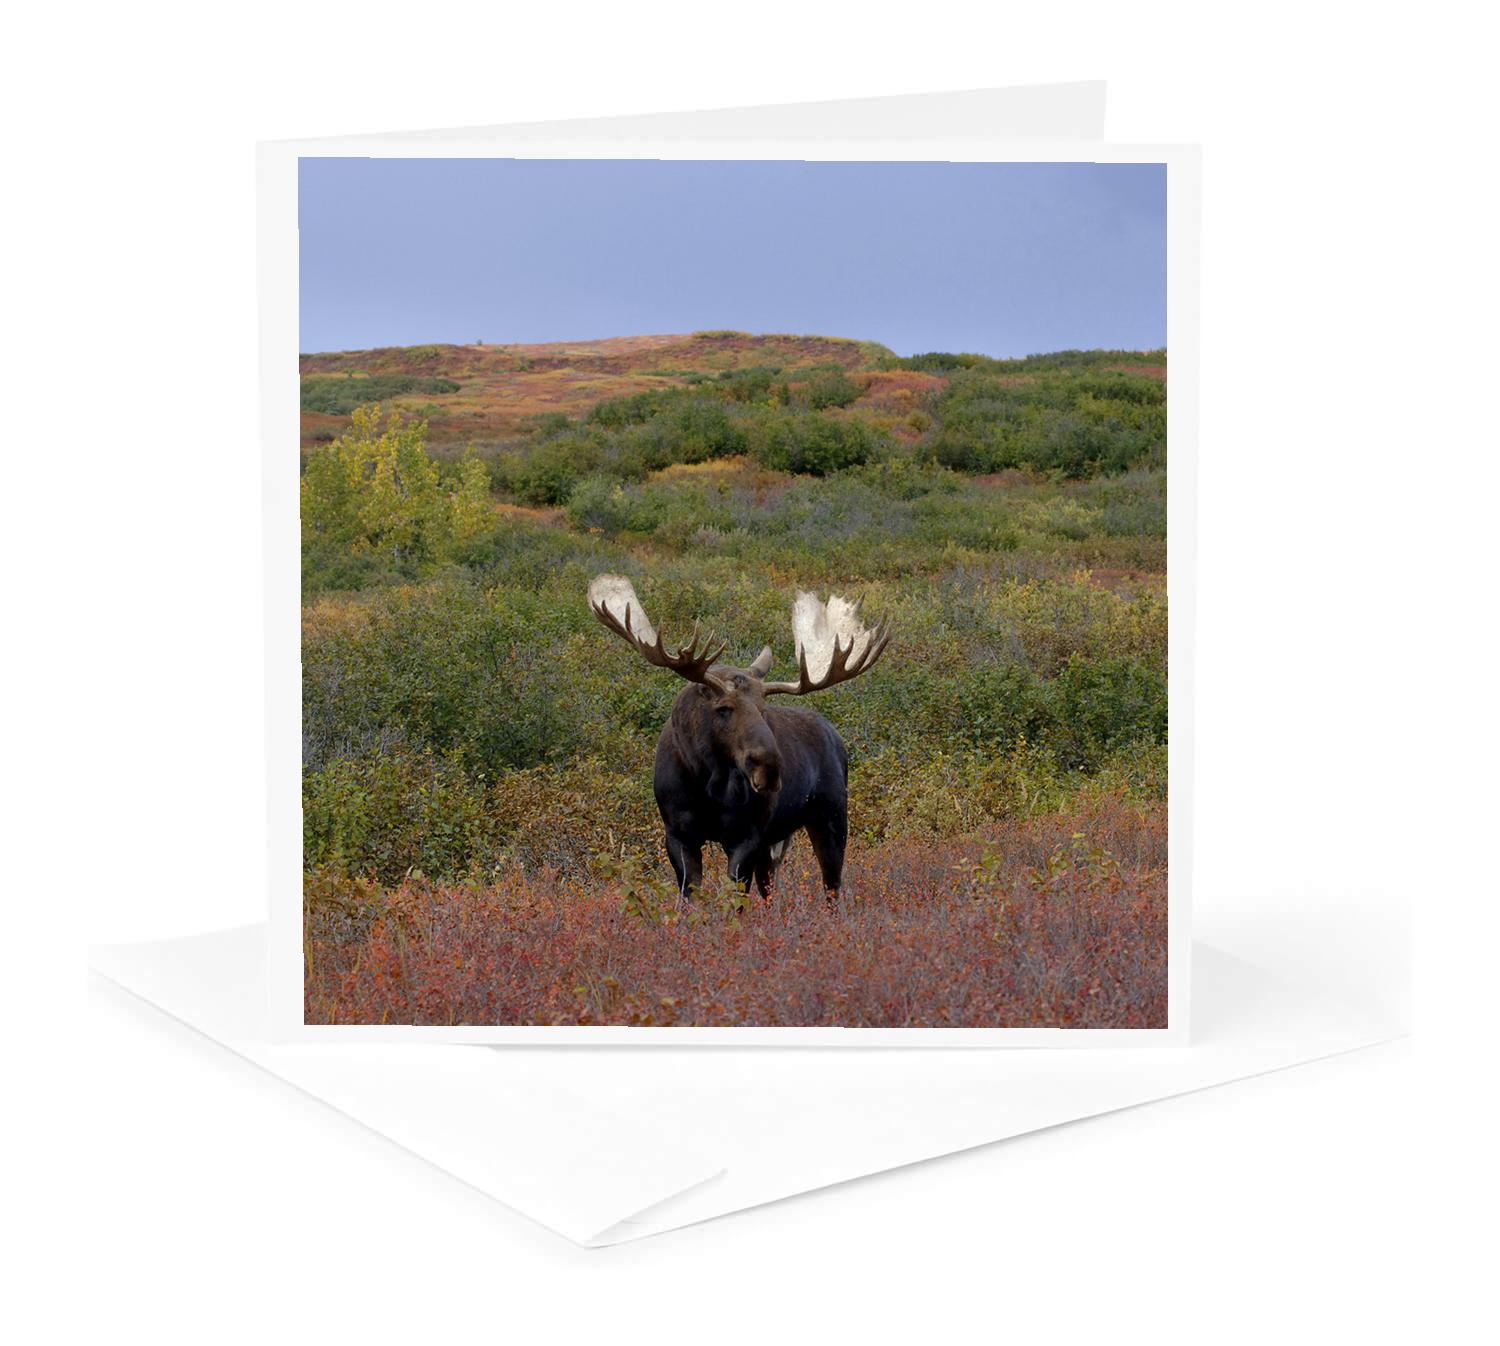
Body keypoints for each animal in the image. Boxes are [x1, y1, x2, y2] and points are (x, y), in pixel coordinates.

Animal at [588, 574, 891, 903]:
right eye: (723, 708)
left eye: (763, 708)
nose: (769, 768)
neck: (706, 781)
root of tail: (836, 737)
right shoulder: (677, 833)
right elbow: (690, 897)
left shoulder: (747, 836)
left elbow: (732, 900)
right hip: (780, 839)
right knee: (770, 891)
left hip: (831, 818)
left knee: (832, 888)